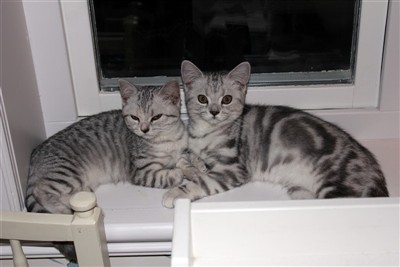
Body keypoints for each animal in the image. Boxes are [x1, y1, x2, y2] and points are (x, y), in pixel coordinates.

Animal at [25, 78, 191, 260]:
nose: (144, 129)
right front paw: (178, 174)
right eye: (134, 117)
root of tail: (35, 153)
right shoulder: (141, 171)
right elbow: (170, 175)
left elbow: (185, 162)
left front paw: (191, 169)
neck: (166, 140)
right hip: (67, 171)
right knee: (41, 190)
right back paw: (64, 212)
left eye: (156, 117)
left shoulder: (182, 152)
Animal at [162, 61, 388, 209]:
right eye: (202, 98)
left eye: (226, 99)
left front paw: (176, 192)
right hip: (300, 190)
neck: (205, 133)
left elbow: (203, 182)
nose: (214, 112)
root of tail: (374, 168)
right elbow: (193, 159)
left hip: (339, 187)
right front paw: (195, 166)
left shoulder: (233, 169)